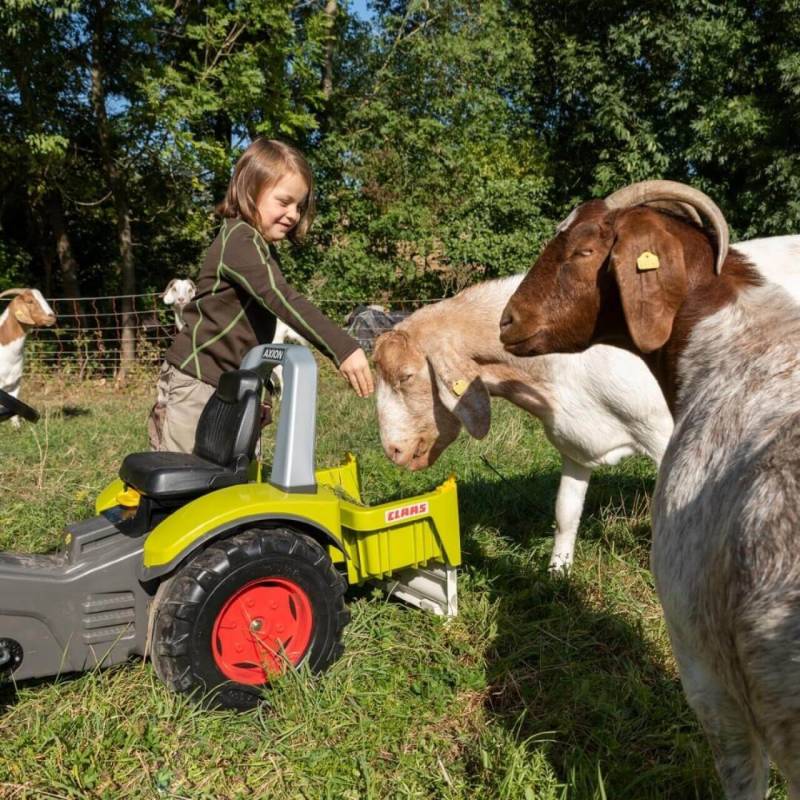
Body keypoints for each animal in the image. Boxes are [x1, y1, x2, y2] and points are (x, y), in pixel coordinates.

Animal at [376, 234, 800, 572]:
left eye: (406, 376)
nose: (392, 450)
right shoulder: (574, 440)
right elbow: (565, 512)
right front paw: (557, 573)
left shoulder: (668, 435)